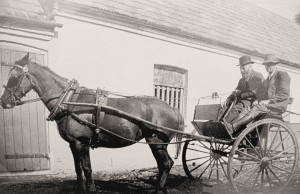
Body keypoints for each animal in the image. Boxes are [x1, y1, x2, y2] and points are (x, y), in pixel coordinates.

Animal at [0, 53, 184, 192]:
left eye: (14, 76)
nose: (4, 101)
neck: (69, 101)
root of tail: (173, 108)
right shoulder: (73, 144)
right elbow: (78, 169)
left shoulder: (82, 142)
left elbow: (87, 169)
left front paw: (91, 188)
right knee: (164, 164)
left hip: (156, 141)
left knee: (166, 164)